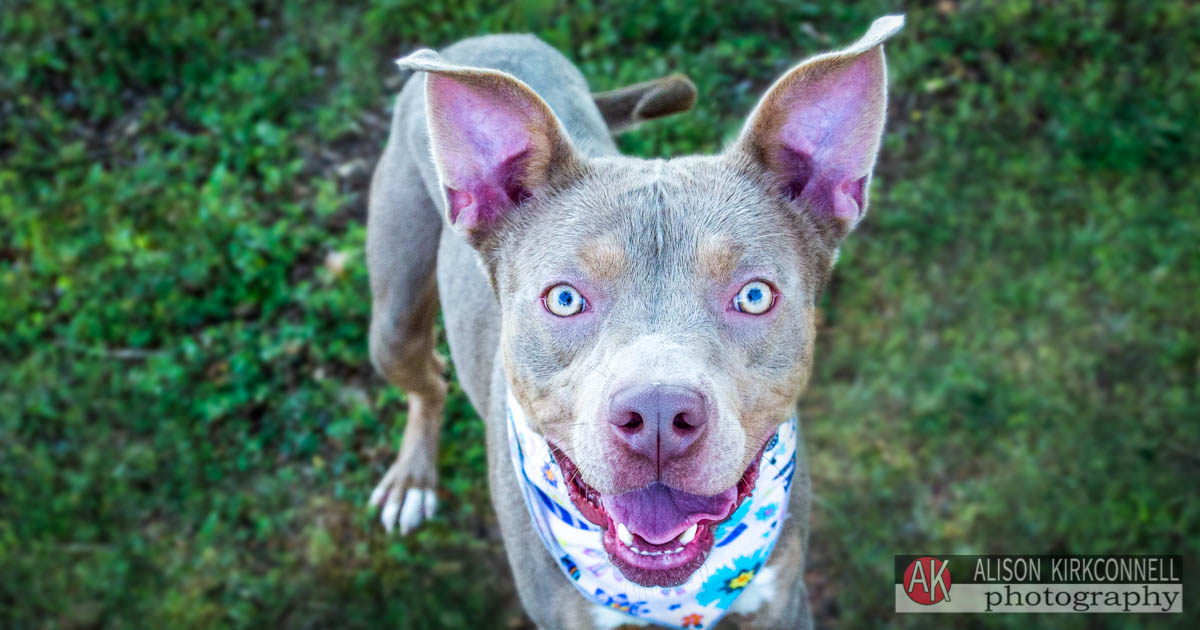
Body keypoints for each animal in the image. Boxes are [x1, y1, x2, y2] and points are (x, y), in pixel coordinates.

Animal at [362, 15, 902, 628]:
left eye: (755, 296)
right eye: (565, 299)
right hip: (394, 320)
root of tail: (490, 39)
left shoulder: (784, 604)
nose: (660, 416)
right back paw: (412, 478)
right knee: (428, 381)